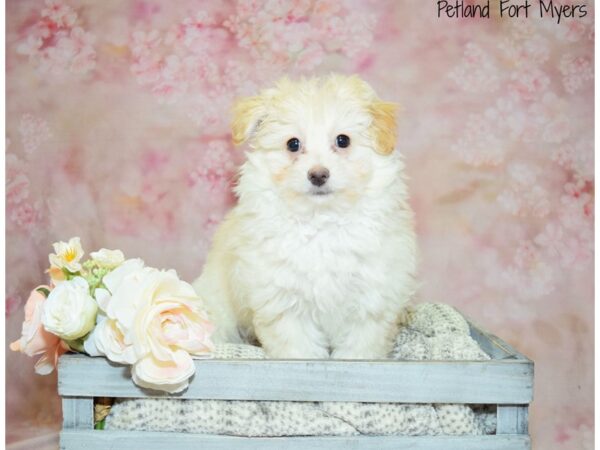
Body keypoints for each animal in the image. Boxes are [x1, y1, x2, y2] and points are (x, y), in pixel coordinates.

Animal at [193, 75, 418, 360]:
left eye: (343, 140)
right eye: (293, 144)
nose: (318, 175)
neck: (321, 221)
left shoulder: (372, 302)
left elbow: (359, 349)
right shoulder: (283, 303)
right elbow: (298, 349)